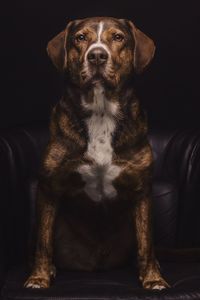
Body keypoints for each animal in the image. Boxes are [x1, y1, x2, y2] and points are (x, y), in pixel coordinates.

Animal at [24, 17, 169, 290]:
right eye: (80, 38)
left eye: (118, 37)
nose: (98, 56)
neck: (101, 112)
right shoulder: (48, 189)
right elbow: (43, 243)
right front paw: (39, 277)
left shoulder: (142, 191)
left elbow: (146, 243)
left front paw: (153, 278)